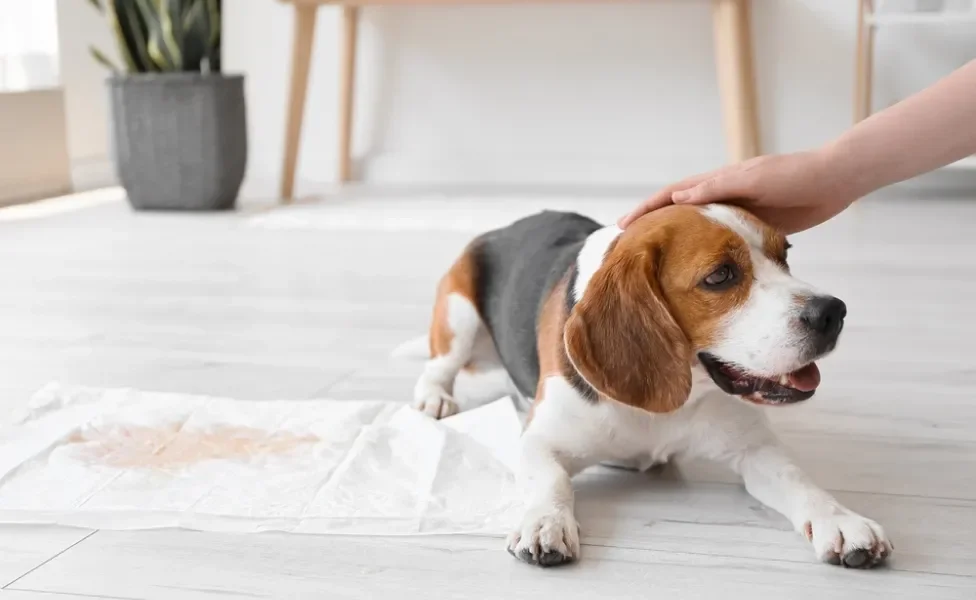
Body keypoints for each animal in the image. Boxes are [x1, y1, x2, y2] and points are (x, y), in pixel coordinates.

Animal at [410, 204, 892, 568]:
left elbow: (798, 480)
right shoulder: (539, 440)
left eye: (784, 254)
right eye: (720, 276)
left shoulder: (754, 450)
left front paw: (840, 520)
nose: (833, 312)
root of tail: (504, 227)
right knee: (439, 365)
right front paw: (546, 522)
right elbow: (551, 479)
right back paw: (434, 398)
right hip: (458, 316)